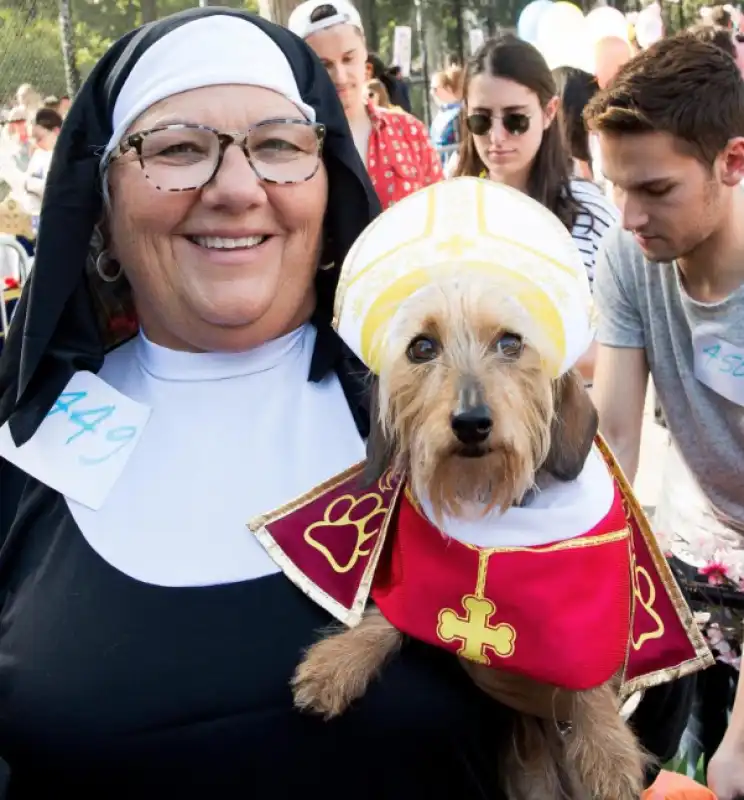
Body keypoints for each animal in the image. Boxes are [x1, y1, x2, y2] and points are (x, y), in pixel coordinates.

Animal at [290, 276, 644, 800]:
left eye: (511, 342)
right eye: (422, 347)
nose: (471, 422)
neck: (489, 500)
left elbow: (589, 669)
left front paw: (608, 750)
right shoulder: (424, 580)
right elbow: (393, 612)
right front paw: (338, 662)